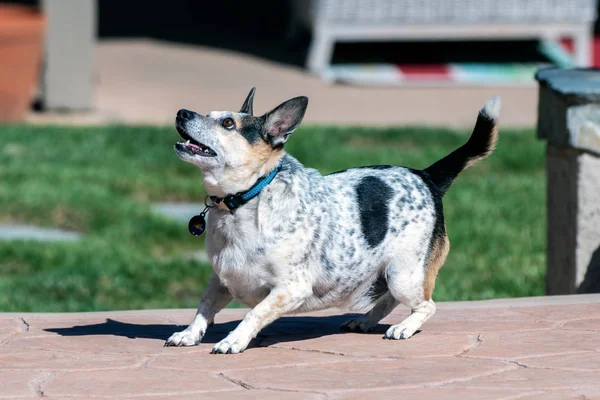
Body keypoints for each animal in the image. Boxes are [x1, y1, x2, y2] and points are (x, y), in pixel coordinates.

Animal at [165, 88, 502, 354]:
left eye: (228, 123)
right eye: (209, 114)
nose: (182, 112)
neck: (246, 199)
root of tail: (426, 175)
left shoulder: (291, 289)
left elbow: (255, 313)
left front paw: (234, 340)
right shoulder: (220, 280)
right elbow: (203, 307)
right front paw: (188, 335)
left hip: (404, 273)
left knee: (426, 305)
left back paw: (404, 328)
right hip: (391, 274)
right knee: (389, 301)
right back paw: (365, 321)